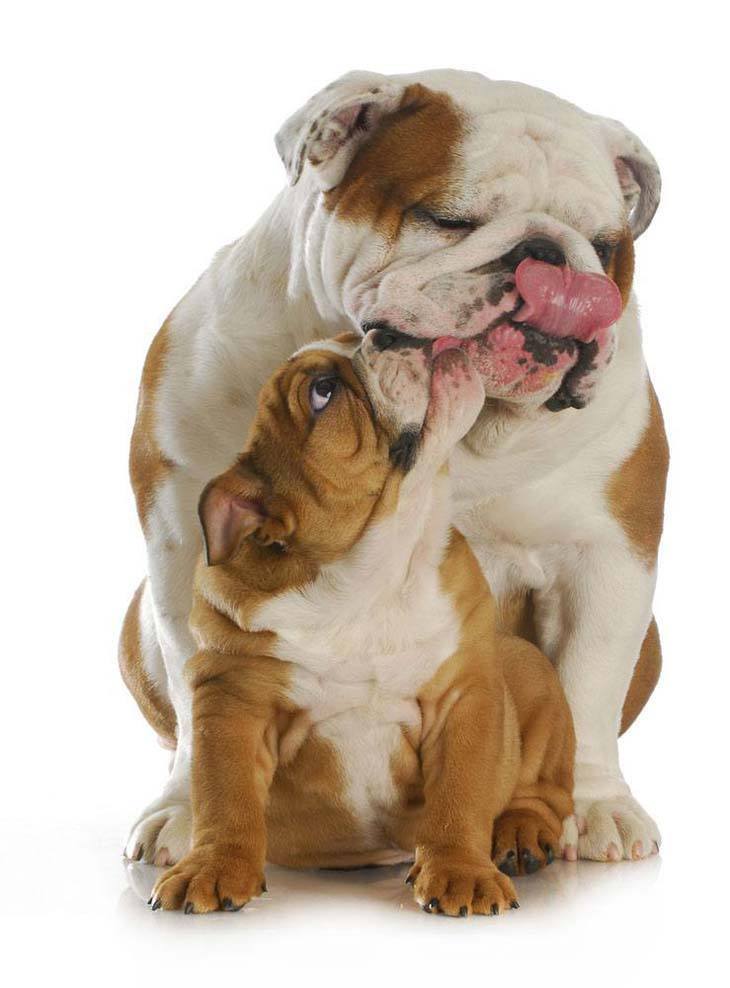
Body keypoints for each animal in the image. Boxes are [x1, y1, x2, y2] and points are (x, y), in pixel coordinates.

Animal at [148, 334, 572, 920]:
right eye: (322, 392)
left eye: (352, 336)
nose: (384, 335)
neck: (373, 571)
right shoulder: (232, 700)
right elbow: (225, 795)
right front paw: (212, 867)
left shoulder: (466, 697)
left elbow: (461, 793)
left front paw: (461, 870)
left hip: (533, 676)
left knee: (540, 789)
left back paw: (520, 834)